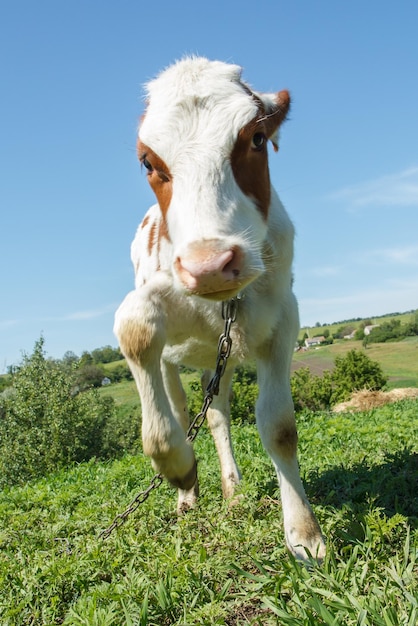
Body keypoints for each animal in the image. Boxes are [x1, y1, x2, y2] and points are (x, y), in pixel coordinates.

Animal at [115, 56, 326, 560]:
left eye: (255, 138)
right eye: (148, 161)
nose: (210, 266)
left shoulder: (283, 317)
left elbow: (279, 427)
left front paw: (304, 534)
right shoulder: (168, 297)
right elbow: (135, 325)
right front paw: (178, 466)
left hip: (221, 357)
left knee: (216, 413)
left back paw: (232, 488)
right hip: (179, 361)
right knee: (180, 407)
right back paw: (187, 496)